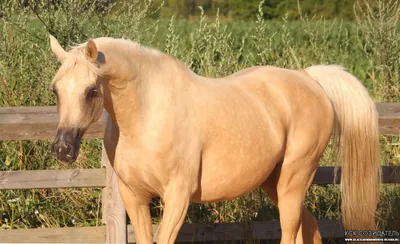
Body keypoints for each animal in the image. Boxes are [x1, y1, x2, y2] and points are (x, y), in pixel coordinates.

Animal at [48, 35, 380, 243]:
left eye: (92, 90)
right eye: (56, 89)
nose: (63, 149)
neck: (146, 114)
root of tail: (309, 78)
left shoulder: (177, 197)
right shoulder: (134, 196)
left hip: (294, 180)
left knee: (291, 232)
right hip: (275, 182)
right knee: (308, 229)